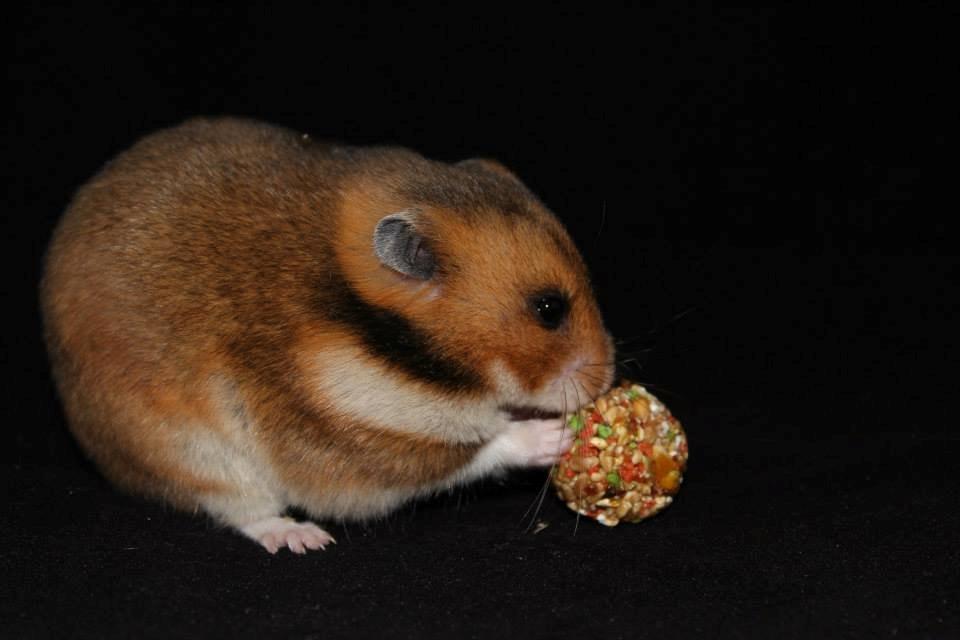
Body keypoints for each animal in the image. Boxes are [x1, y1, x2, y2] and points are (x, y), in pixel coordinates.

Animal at [40, 117, 615, 553]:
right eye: (548, 309)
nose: (607, 380)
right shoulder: (353, 444)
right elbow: (473, 450)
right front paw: (554, 436)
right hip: (190, 453)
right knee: (240, 509)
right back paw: (303, 538)